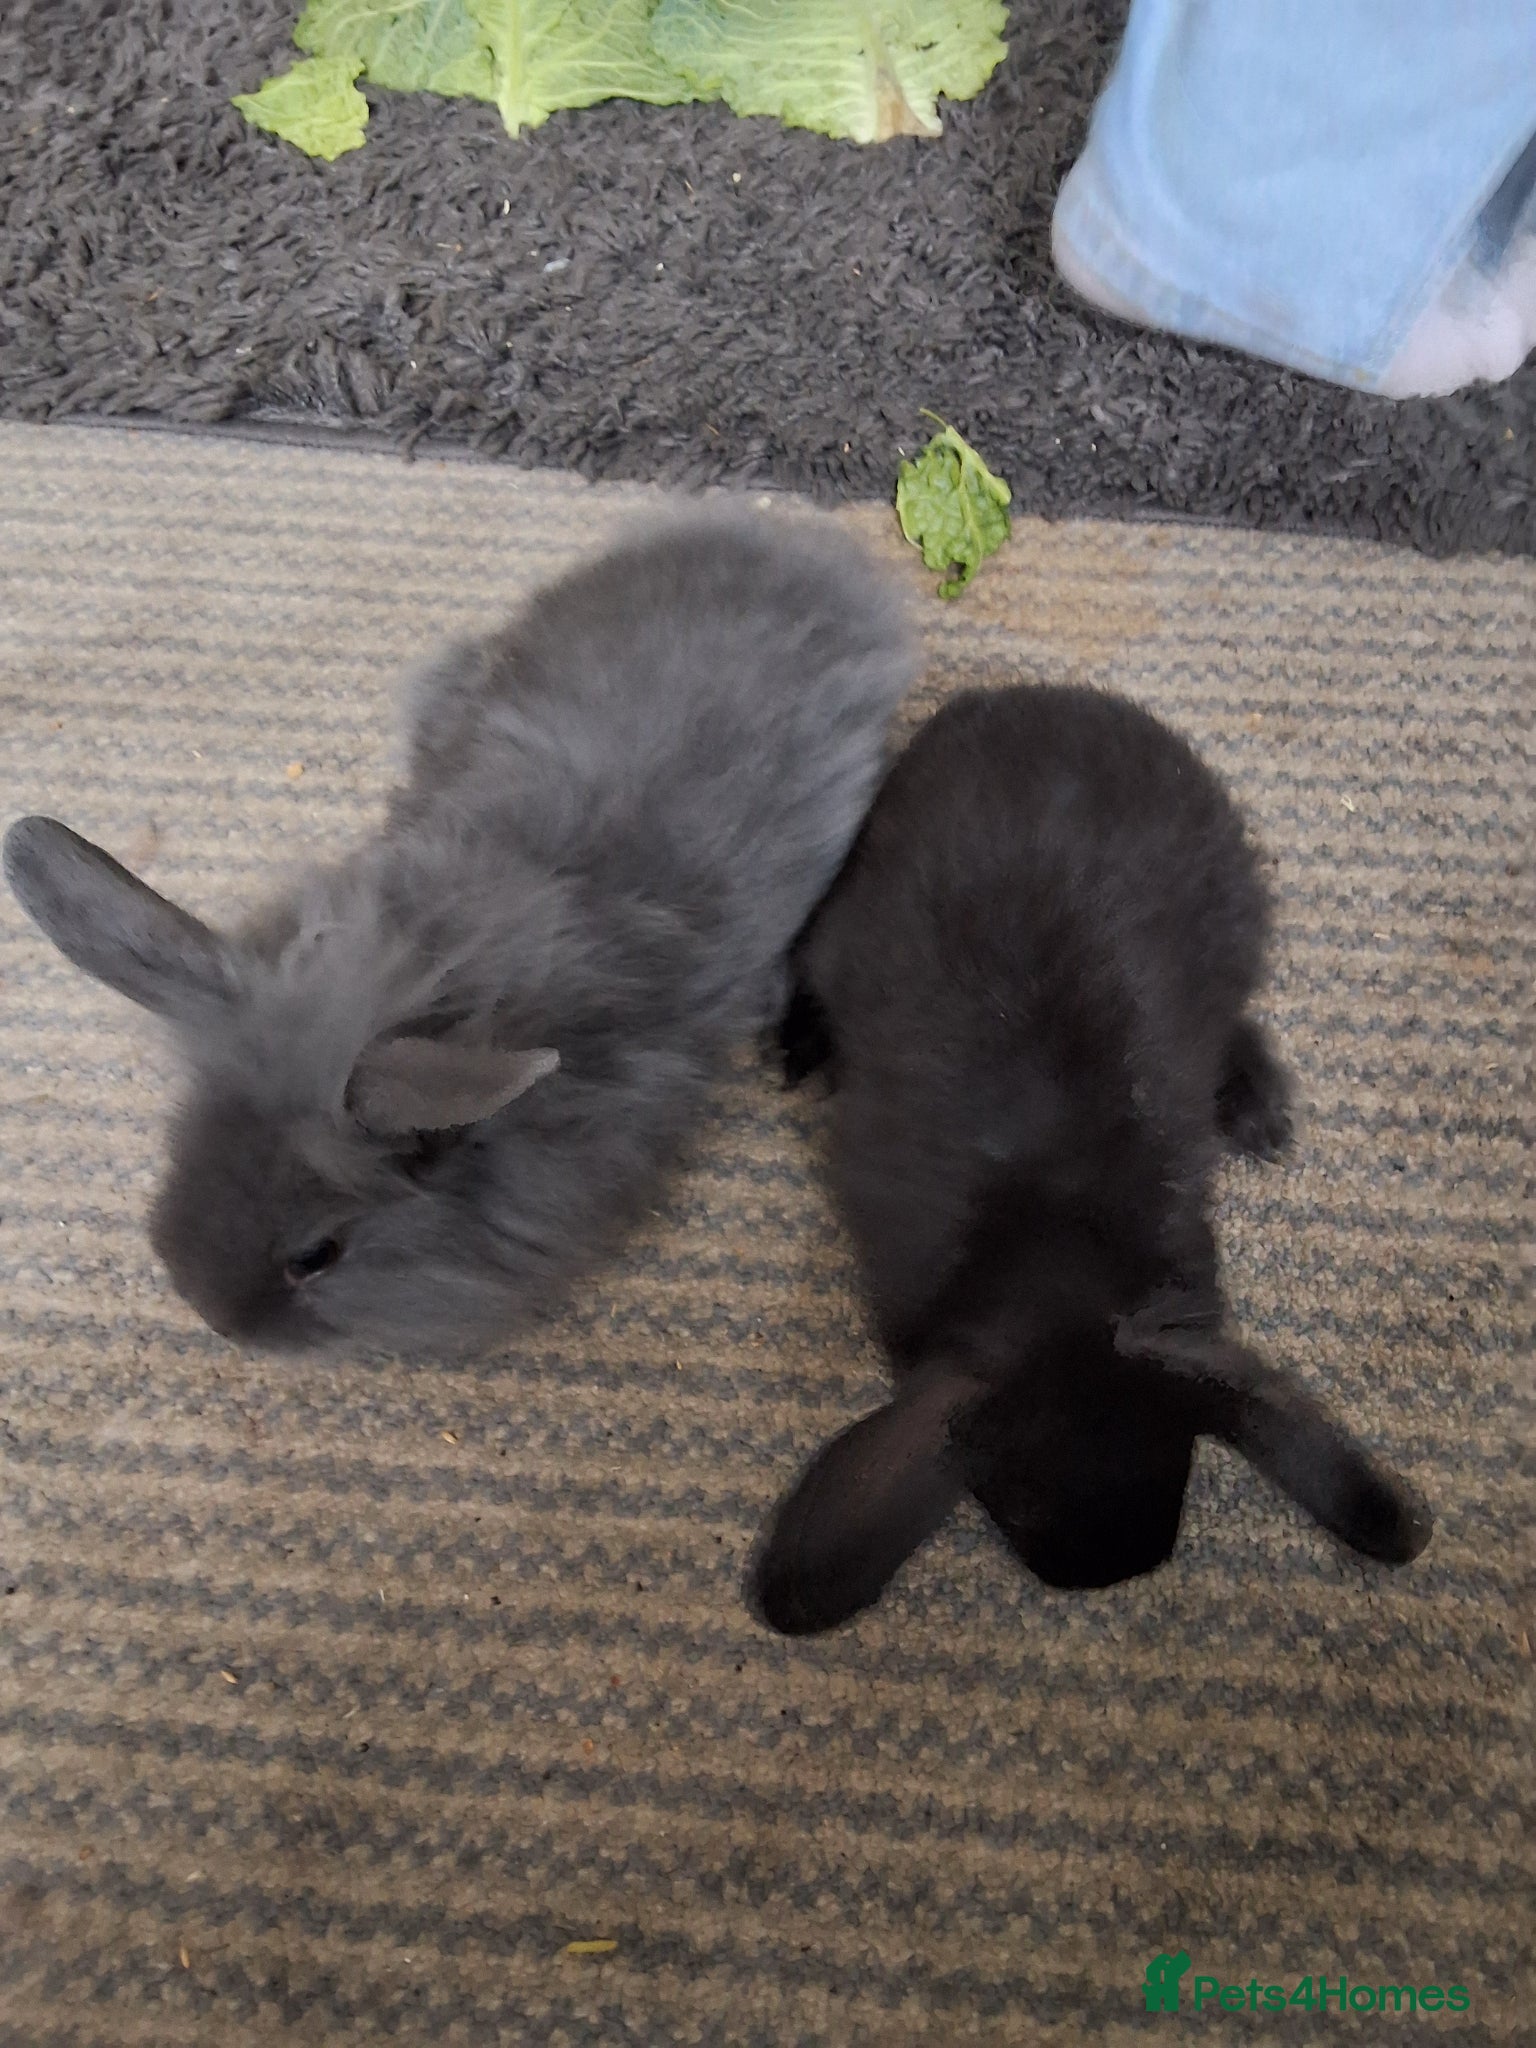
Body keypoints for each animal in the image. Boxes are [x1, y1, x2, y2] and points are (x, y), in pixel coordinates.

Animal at [751, 682, 1432, 1635]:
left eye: (1178, 1475)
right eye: (1013, 1506)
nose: (1107, 1576)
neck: (1056, 1255)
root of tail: (1040, 694)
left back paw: (1260, 1116)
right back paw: (798, 1052)